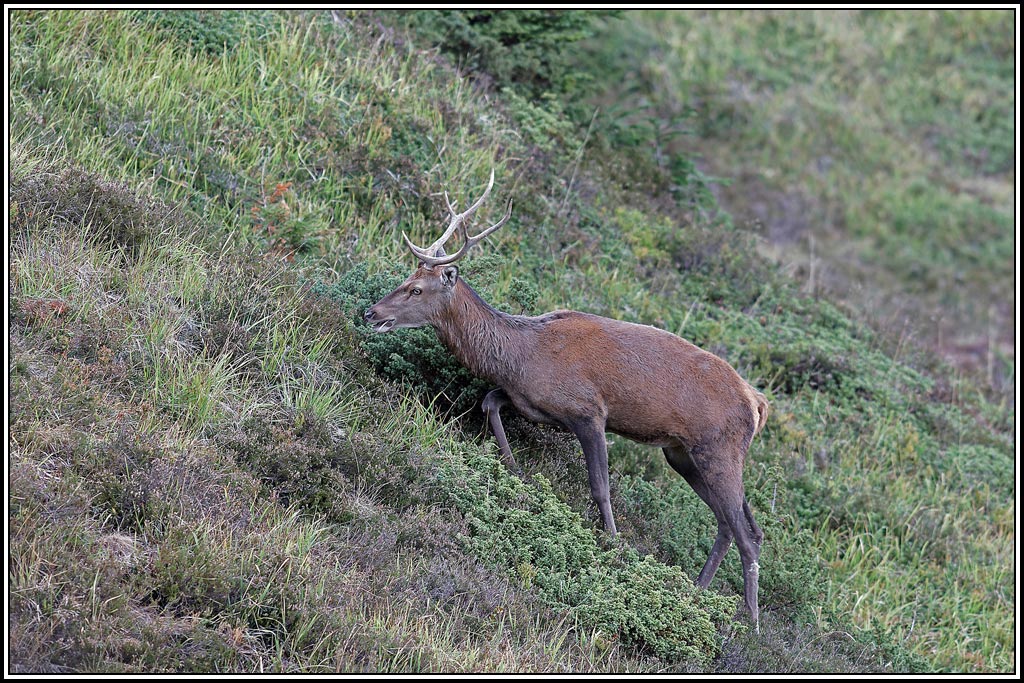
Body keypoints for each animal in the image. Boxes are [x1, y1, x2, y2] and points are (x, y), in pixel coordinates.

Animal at [364, 171, 770, 630]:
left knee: (746, 534)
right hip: (682, 453)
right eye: (404, 279)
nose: (372, 313)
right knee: (732, 525)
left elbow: (600, 487)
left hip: (717, 448)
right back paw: (696, 594)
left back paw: (751, 623)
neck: (522, 355)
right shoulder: (531, 401)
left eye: (416, 289)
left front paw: (612, 546)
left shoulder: (588, 411)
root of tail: (757, 402)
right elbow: (489, 402)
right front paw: (515, 469)